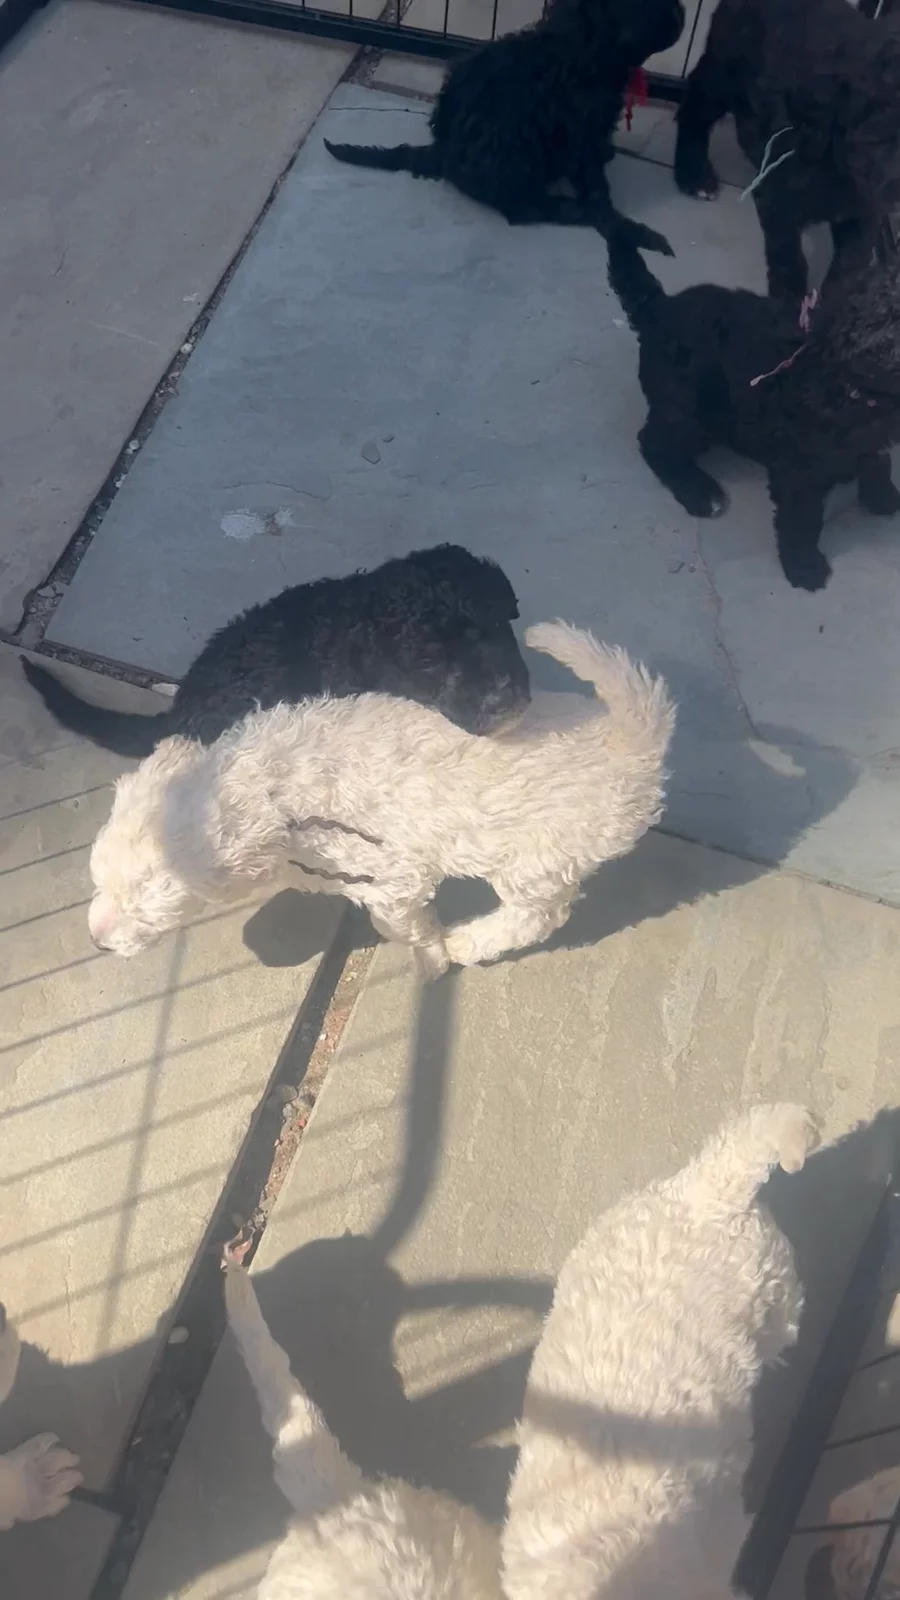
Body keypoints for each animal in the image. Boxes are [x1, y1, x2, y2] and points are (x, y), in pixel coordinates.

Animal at [86, 622, 674, 973]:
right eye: (99, 880)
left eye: (150, 894)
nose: (95, 940)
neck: (270, 790)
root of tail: (632, 740)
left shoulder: (391, 868)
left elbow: (394, 916)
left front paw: (431, 953)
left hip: (537, 860)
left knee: (538, 917)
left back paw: (469, 942)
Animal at [323, 0, 683, 255]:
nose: (680, 12)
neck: (582, 49)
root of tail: (441, 151)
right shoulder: (578, 135)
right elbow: (597, 192)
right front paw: (627, 229)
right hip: (511, 150)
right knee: (520, 208)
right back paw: (568, 207)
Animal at [606, 233, 900, 591]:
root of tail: (658, 308)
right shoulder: (797, 468)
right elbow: (800, 518)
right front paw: (805, 567)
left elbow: (877, 463)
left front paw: (882, 497)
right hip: (690, 409)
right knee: (654, 443)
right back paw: (699, 492)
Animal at [673, 0, 900, 304]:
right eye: (881, 136)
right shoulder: (778, 200)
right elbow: (788, 258)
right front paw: (788, 305)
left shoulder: (866, 214)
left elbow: (848, 267)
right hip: (723, 73)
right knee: (695, 109)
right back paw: (694, 174)